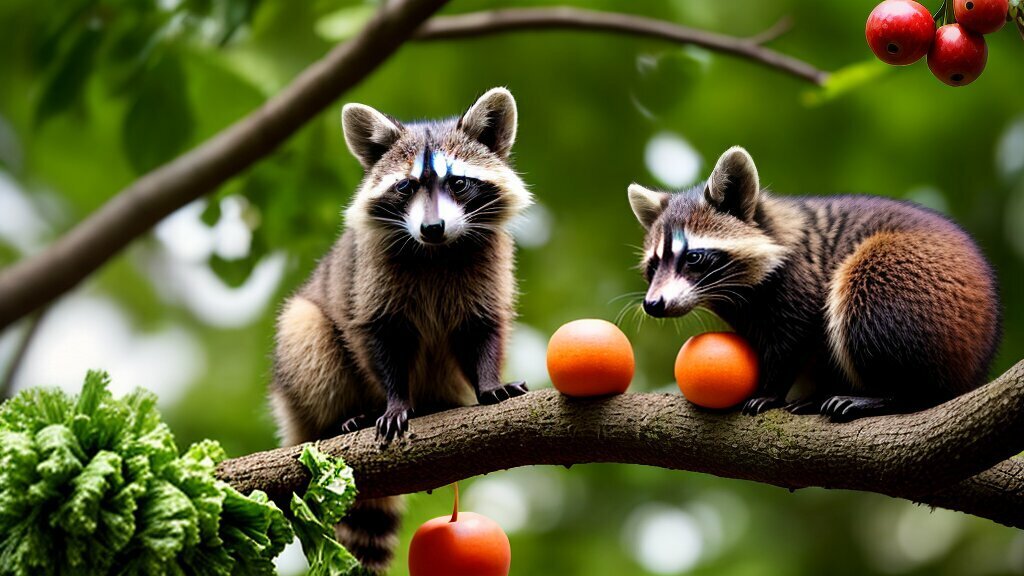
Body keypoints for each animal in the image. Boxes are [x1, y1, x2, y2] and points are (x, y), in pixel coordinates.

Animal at [270, 88, 532, 572]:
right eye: (406, 186)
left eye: (458, 183)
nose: (432, 228)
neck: (437, 251)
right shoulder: (371, 282)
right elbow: (378, 339)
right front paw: (394, 399)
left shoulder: (489, 267)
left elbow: (483, 329)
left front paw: (489, 382)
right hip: (298, 362)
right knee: (306, 332)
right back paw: (342, 418)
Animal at [628, 146, 1001, 421]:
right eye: (653, 265)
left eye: (693, 257)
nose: (653, 304)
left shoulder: (801, 278)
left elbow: (795, 336)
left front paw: (770, 390)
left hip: (909, 281)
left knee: (868, 301)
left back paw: (893, 395)